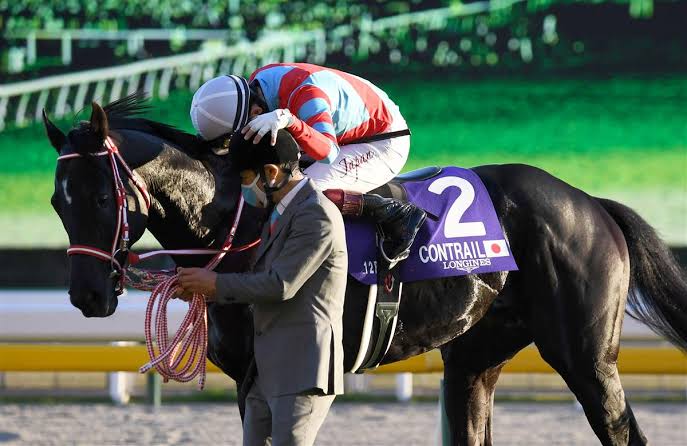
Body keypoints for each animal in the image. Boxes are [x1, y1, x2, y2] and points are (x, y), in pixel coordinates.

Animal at [43, 94, 687, 446]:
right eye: (58, 201)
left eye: (100, 197)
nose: (88, 296)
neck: (238, 223)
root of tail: (590, 203)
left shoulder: (268, 374)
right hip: (474, 359)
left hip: (585, 355)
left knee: (623, 430)